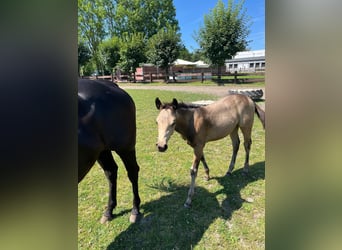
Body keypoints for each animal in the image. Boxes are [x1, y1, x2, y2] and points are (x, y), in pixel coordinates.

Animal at [78, 79, 140, 224]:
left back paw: (135, 210)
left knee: (132, 171)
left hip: (125, 147)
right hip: (102, 151)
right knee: (111, 171)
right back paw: (109, 211)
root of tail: (111, 85)